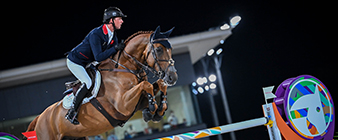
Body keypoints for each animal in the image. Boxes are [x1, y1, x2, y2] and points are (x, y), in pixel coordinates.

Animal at [24, 26, 177, 140]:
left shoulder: (137, 101)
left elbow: (158, 85)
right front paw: (152, 108)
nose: (172, 77)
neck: (125, 67)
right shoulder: (123, 105)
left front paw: (158, 110)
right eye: (158, 49)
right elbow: (147, 85)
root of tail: (39, 118)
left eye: (170, 49)